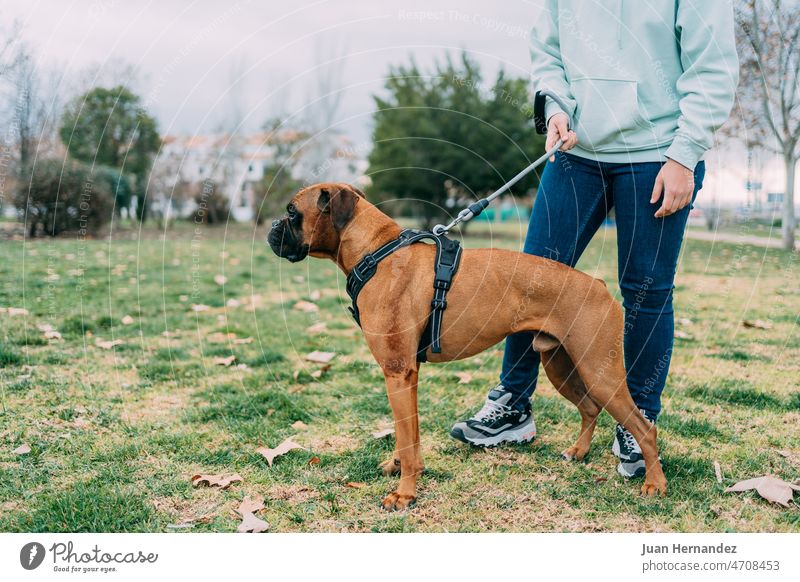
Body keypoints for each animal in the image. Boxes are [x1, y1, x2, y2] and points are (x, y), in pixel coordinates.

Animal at [268, 182, 668, 512]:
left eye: (292, 211)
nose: (272, 228)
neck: (377, 252)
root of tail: (597, 284)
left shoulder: (397, 373)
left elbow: (406, 438)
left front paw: (405, 493)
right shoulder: (407, 375)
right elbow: (408, 434)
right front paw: (401, 469)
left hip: (600, 370)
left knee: (643, 428)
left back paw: (654, 483)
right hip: (561, 363)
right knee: (589, 408)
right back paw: (579, 452)